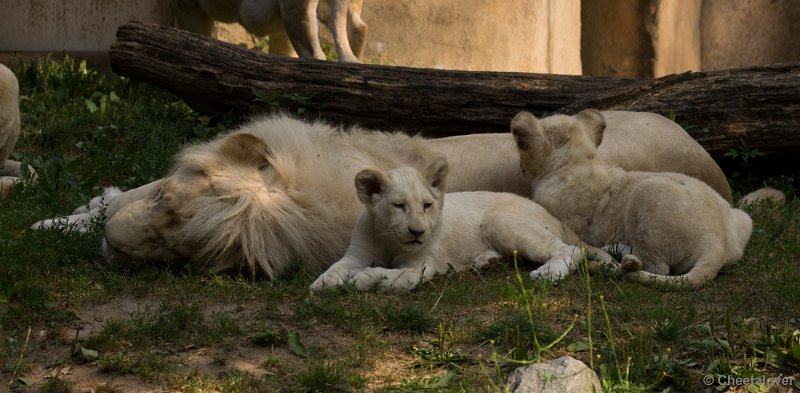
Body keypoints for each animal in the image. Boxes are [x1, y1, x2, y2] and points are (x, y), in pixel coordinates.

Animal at [308, 156, 620, 290]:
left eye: (427, 205)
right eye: (398, 206)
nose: (418, 232)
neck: (389, 238)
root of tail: (547, 213)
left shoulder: (420, 268)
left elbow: (390, 278)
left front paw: (360, 278)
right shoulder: (357, 253)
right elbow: (336, 267)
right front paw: (323, 282)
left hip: (504, 222)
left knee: (570, 250)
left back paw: (548, 273)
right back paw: (485, 261)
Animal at [510, 108, 752, 286]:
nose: (520, 168)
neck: (578, 162)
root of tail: (716, 242)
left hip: (648, 196)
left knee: (657, 266)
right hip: (745, 218)